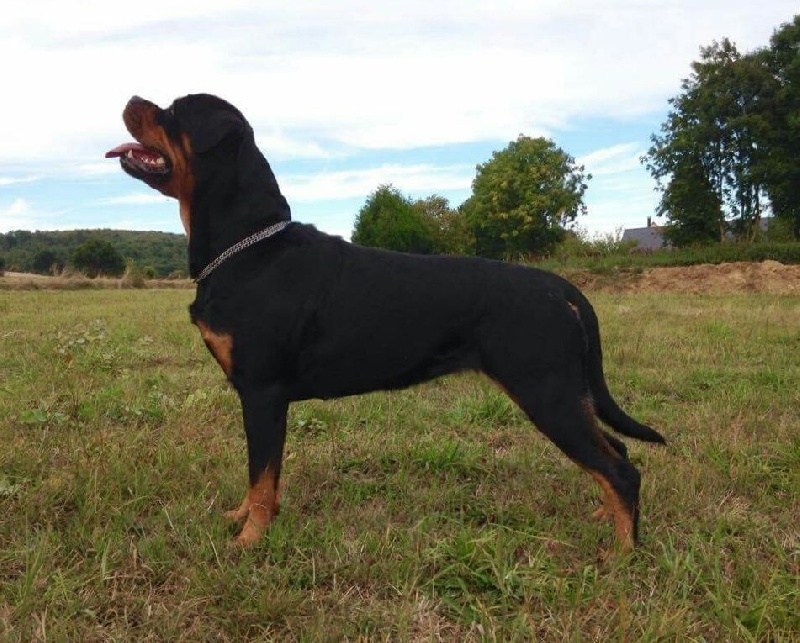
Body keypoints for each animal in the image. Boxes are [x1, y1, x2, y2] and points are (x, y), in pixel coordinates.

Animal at [107, 94, 665, 551]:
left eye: (173, 111)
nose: (131, 99)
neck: (248, 247)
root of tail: (562, 288)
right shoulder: (261, 399)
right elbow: (260, 476)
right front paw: (241, 518)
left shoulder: (262, 393)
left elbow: (261, 474)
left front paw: (250, 539)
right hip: (565, 392)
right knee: (612, 451)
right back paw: (603, 517)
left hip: (547, 393)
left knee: (621, 467)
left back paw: (622, 552)